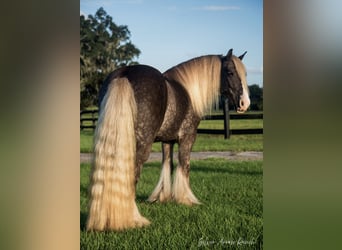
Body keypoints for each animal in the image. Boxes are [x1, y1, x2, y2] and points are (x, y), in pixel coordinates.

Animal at [87, 48, 250, 230]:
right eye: (230, 72)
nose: (245, 103)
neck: (188, 92)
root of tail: (125, 74)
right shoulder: (187, 138)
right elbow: (184, 165)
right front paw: (186, 199)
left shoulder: (167, 141)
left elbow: (167, 164)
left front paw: (162, 197)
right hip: (141, 145)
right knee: (133, 174)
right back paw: (133, 219)